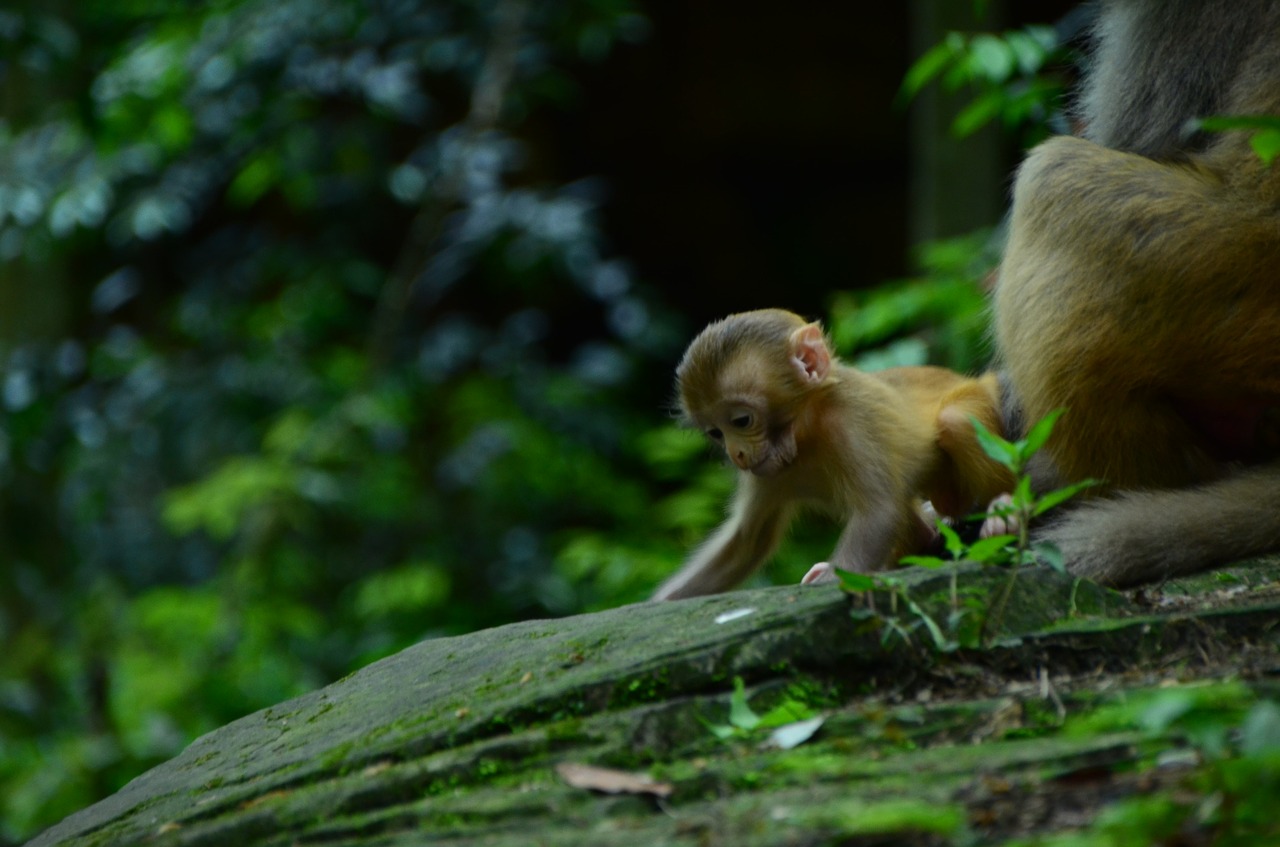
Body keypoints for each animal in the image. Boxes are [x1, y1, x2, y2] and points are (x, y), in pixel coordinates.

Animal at [655, 312, 1013, 603]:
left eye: (741, 421)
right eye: (716, 432)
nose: (737, 454)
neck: (806, 431)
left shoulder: (850, 422)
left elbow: (880, 511)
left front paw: (832, 578)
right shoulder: (767, 471)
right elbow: (745, 544)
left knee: (956, 419)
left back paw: (1003, 511)